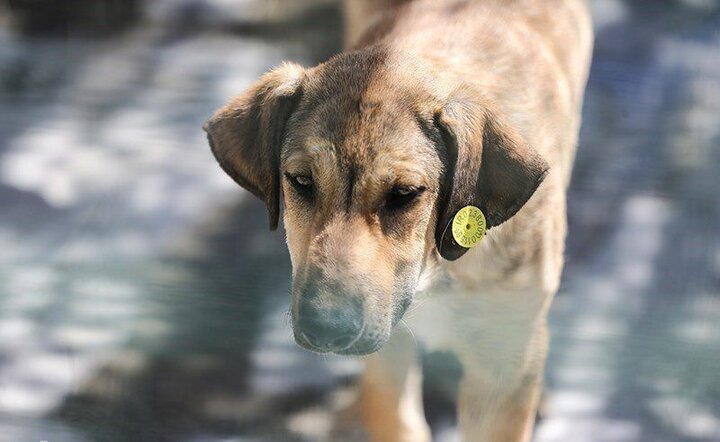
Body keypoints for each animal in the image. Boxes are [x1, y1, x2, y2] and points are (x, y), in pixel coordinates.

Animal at [202, 1, 592, 440]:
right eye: (300, 181)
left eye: (405, 193)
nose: (326, 328)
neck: (436, 272)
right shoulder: (388, 358)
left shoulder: (500, 370)